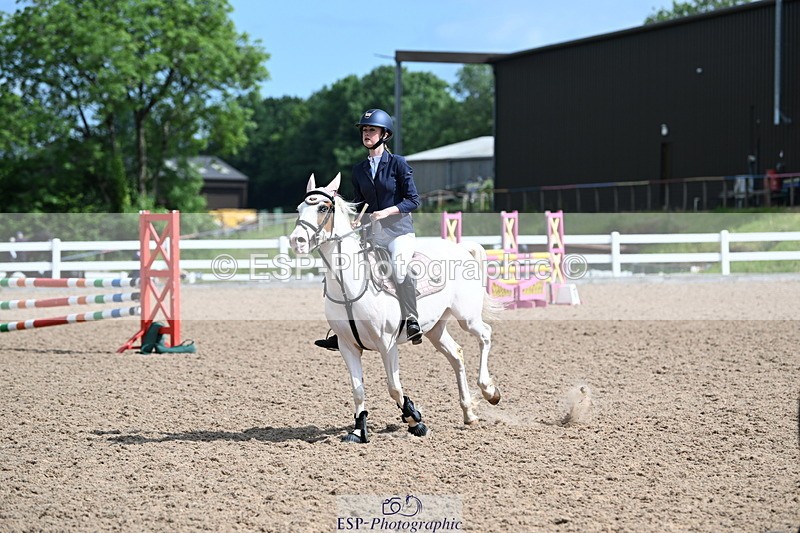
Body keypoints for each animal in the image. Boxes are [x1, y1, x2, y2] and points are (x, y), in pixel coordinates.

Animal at [289, 173, 503, 443]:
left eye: (323, 208)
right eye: (299, 208)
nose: (296, 241)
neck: (349, 286)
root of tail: (460, 248)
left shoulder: (386, 343)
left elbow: (394, 388)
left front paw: (415, 419)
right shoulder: (348, 346)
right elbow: (358, 390)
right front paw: (358, 430)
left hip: (467, 317)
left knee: (485, 335)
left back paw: (489, 391)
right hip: (435, 328)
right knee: (456, 355)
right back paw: (469, 414)